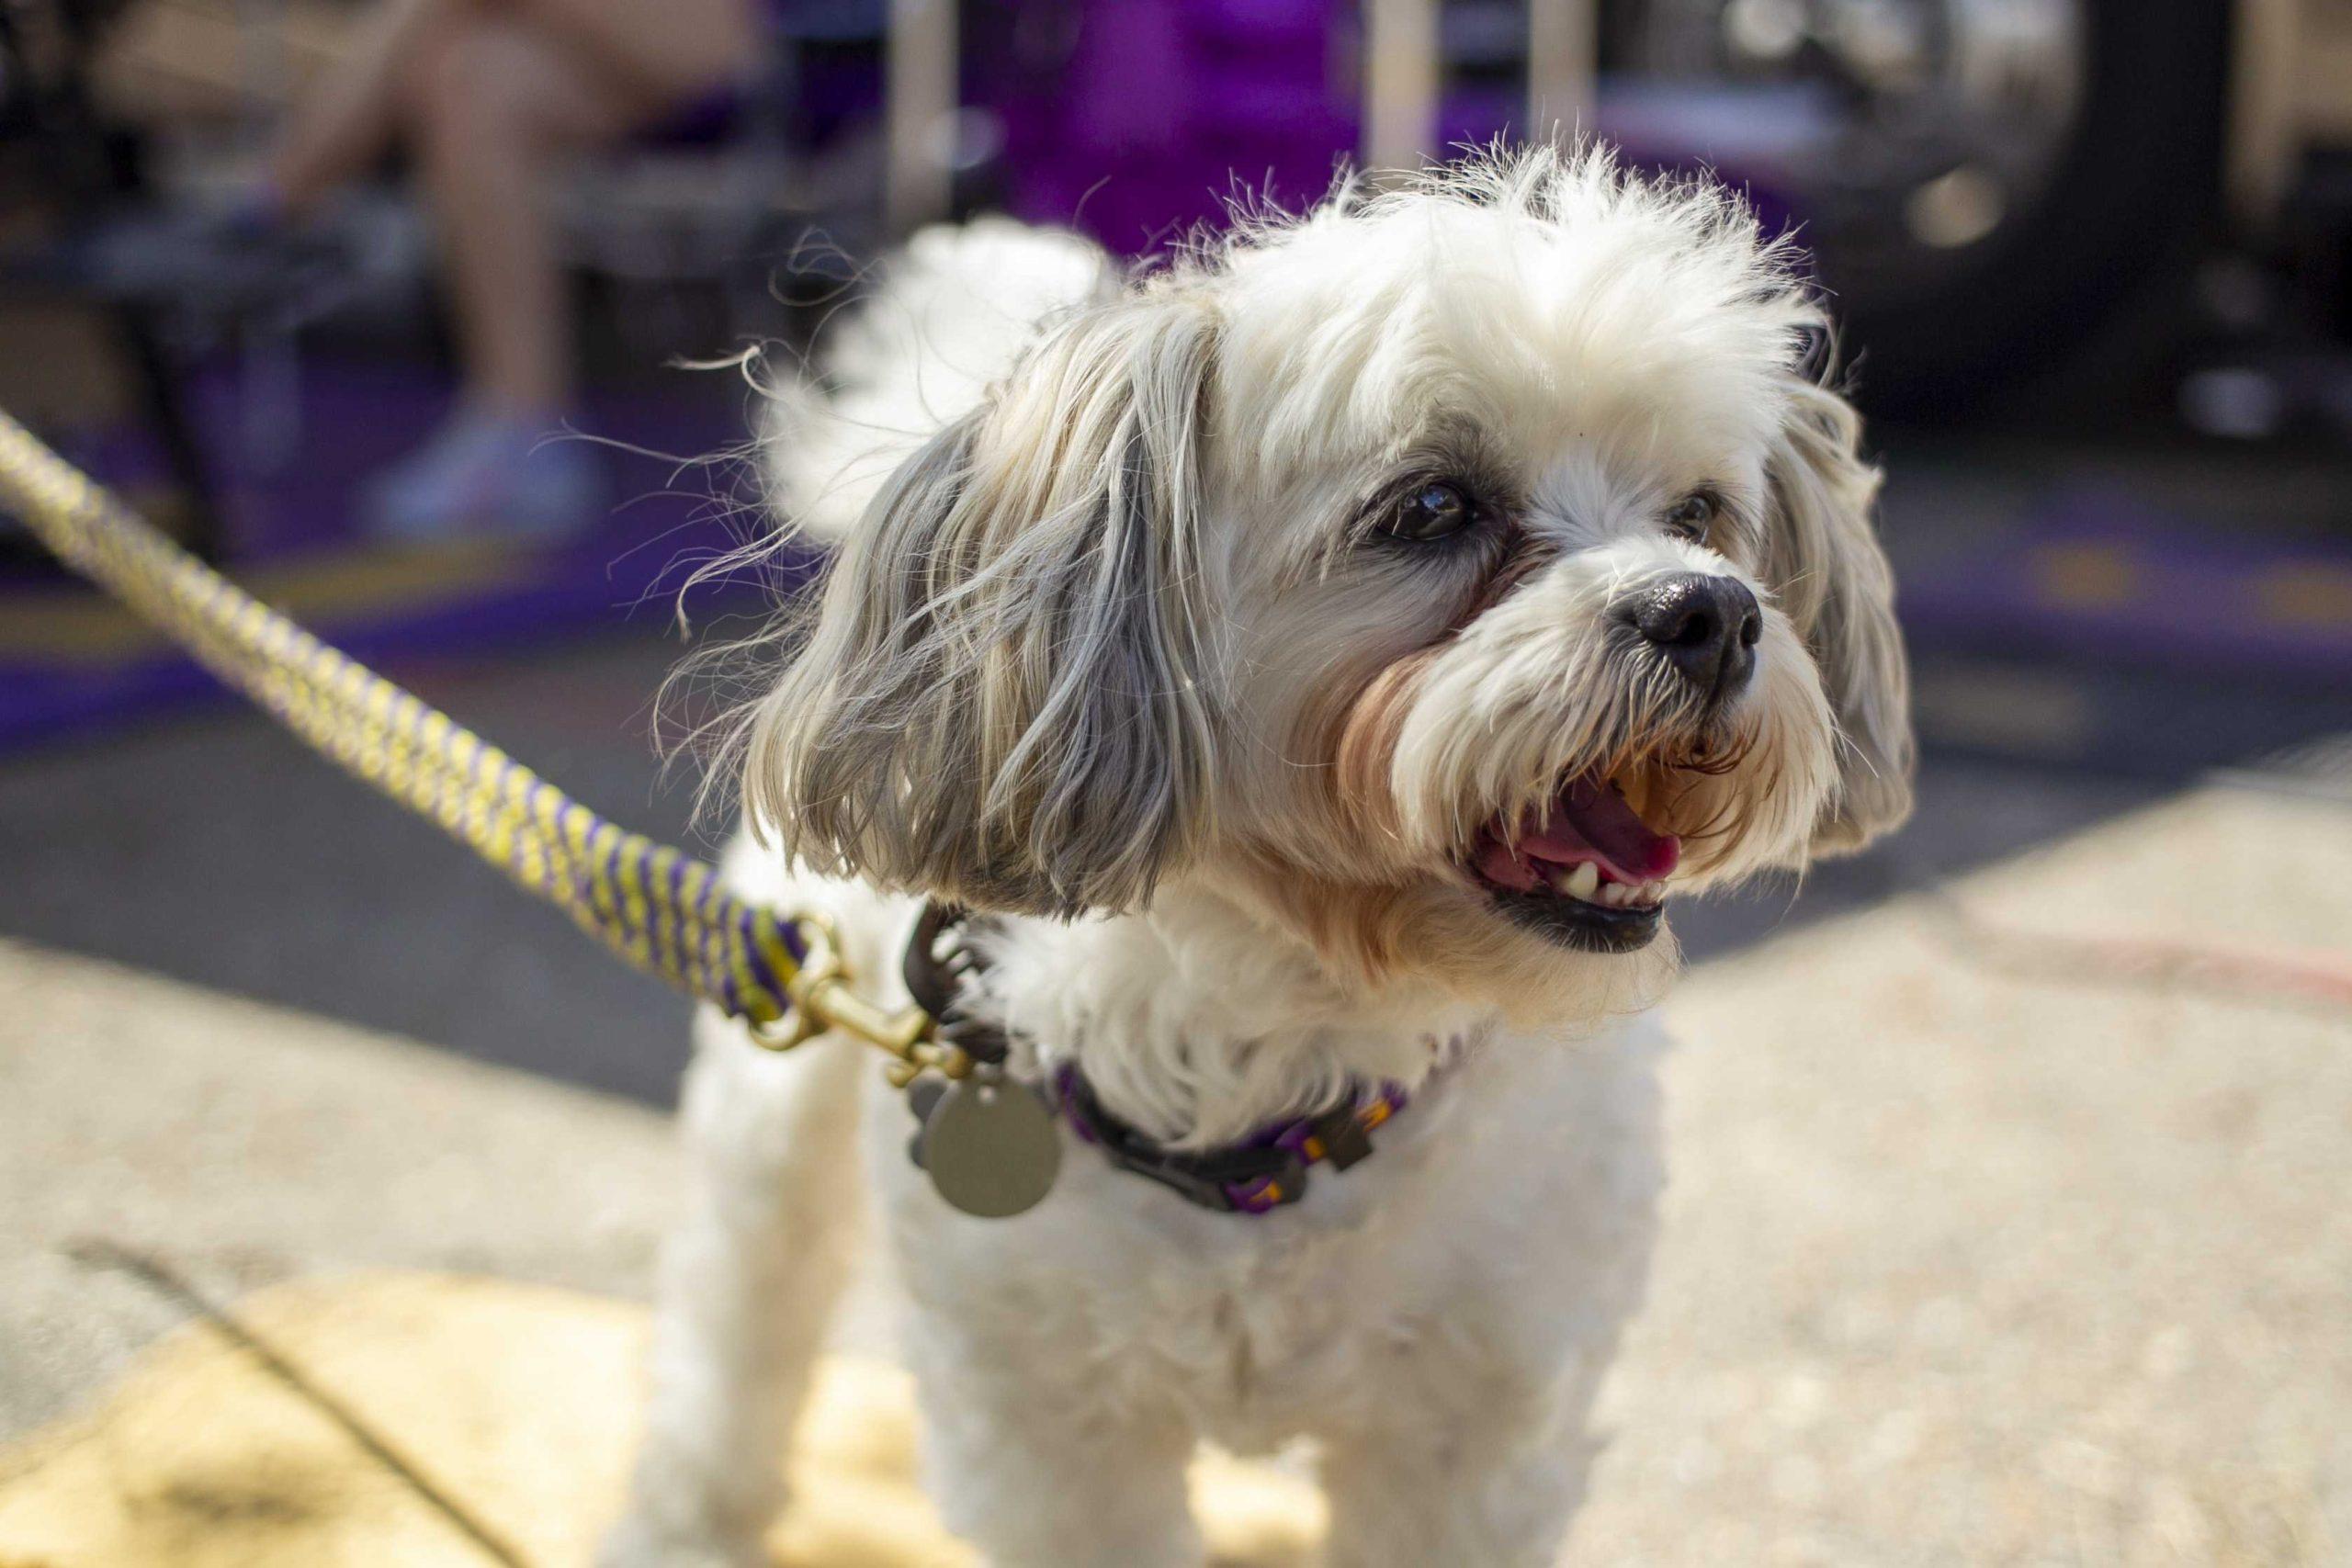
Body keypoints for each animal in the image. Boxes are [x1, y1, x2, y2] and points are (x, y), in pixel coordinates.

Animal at [602, 150, 1909, 1568]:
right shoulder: (1052, 1435)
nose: (1708, 610)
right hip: (771, 1094)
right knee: (735, 1331)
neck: (1291, 1076)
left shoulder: (1474, 1436)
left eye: (1700, 513)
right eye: (1434, 505)